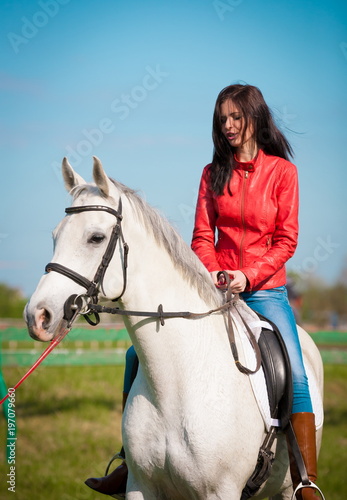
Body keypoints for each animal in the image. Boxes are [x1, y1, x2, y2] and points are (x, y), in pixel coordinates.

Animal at [25, 157, 324, 500]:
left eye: (96, 238)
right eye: (55, 235)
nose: (38, 316)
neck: (178, 381)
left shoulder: (219, 491)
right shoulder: (141, 487)